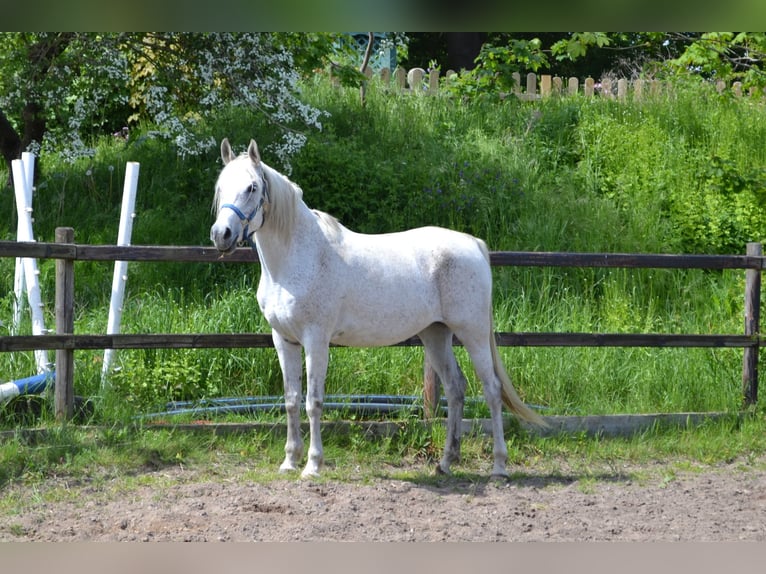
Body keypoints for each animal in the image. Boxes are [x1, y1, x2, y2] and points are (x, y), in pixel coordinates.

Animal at [210, 140, 544, 482]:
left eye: (252, 187)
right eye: (220, 187)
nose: (221, 234)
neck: (298, 256)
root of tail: (473, 243)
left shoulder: (316, 341)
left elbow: (313, 402)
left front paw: (313, 466)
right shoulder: (283, 340)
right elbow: (291, 401)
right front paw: (290, 461)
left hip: (472, 332)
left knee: (491, 389)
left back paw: (499, 467)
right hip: (436, 335)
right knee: (455, 388)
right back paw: (446, 462)